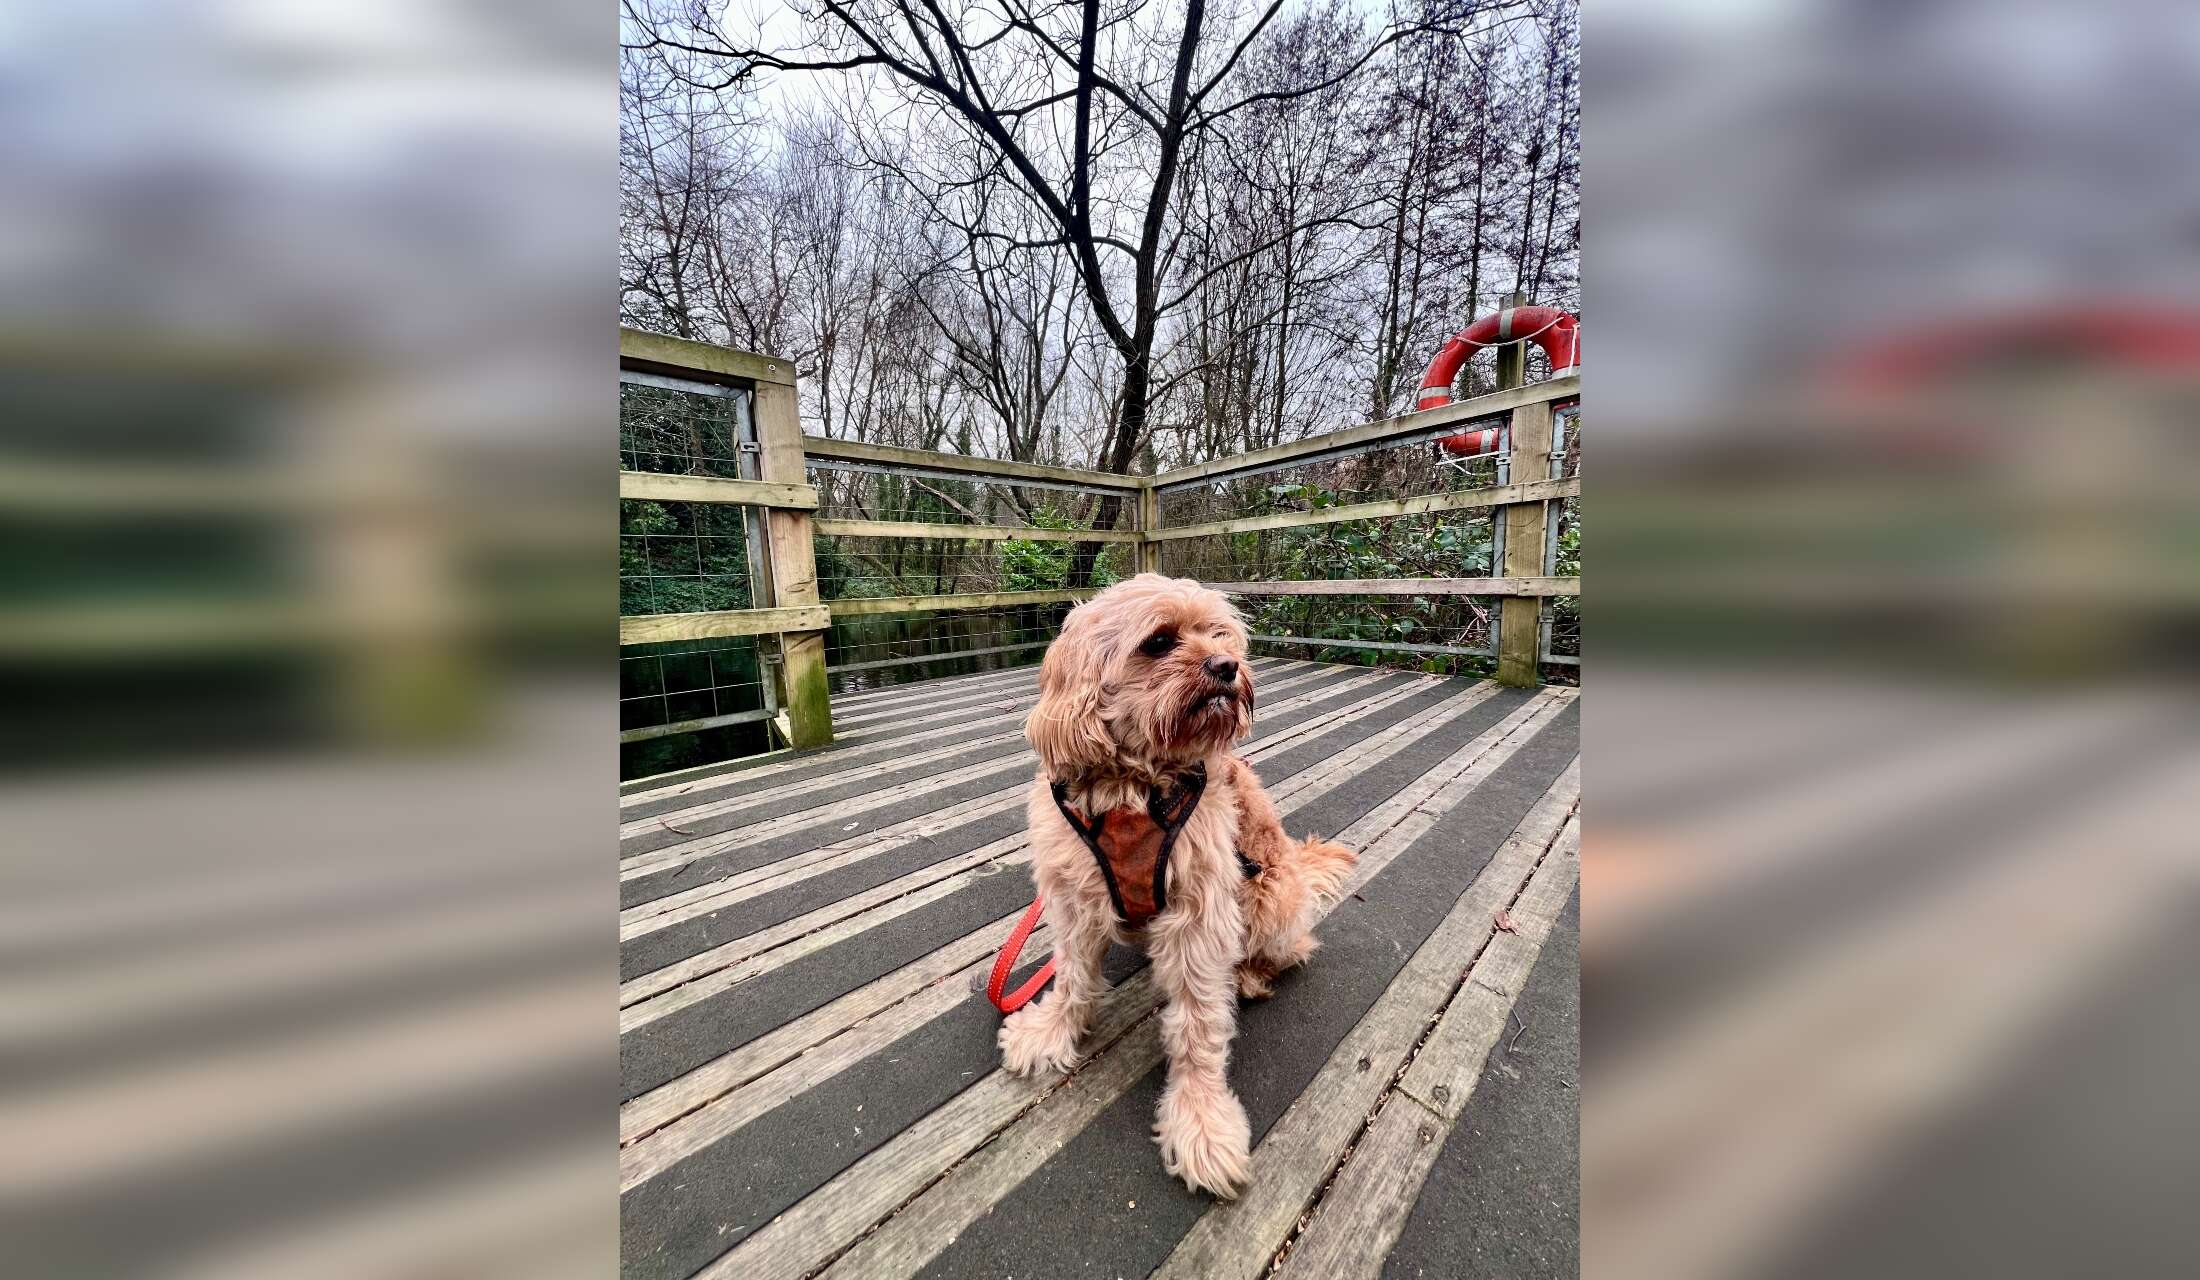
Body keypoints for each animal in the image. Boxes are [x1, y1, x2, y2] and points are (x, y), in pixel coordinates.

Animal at [997, 573, 1357, 1197]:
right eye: (1160, 641)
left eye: (1220, 634)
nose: (1227, 666)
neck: (1133, 785)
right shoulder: (1073, 896)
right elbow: (1072, 975)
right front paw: (1053, 1030)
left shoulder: (1199, 911)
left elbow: (1196, 1024)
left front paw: (1201, 1120)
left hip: (1268, 899)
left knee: (1291, 948)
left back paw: (1250, 975)